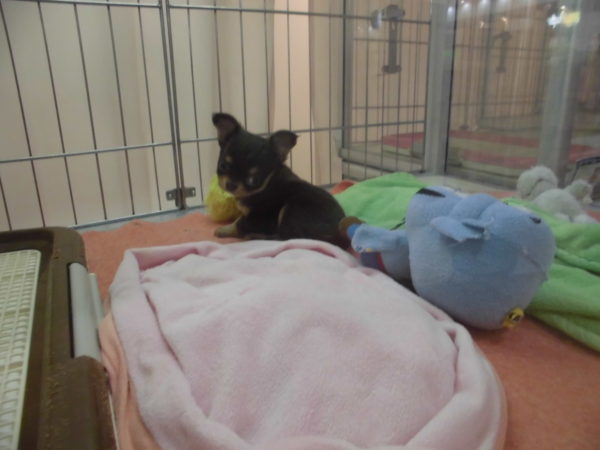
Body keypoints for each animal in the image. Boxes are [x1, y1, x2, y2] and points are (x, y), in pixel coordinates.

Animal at [212, 112, 347, 247]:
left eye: (253, 180)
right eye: (223, 166)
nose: (231, 185)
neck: (268, 183)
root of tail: (339, 236)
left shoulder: (259, 218)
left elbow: (239, 223)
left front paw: (223, 230)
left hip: (292, 209)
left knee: (289, 238)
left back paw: (256, 237)